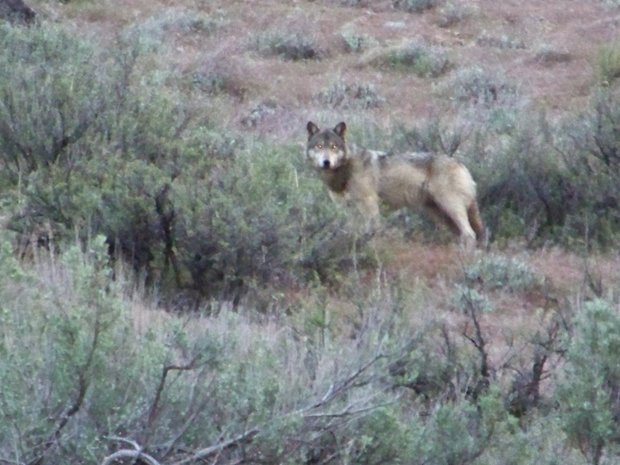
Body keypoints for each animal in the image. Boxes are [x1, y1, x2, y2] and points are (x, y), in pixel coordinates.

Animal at [306, 121, 484, 248]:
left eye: (334, 147)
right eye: (319, 146)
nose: (326, 162)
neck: (344, 171)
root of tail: (461, 164)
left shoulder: (369, 204)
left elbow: (374, 231)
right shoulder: (344, 208)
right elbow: (351, 232)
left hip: (450, 208)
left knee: (469, 234)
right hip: (439, 213)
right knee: (462, 234)